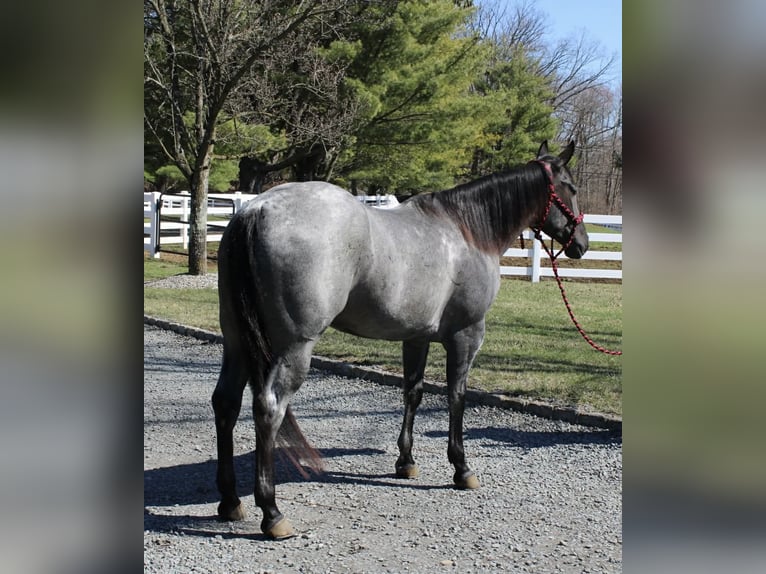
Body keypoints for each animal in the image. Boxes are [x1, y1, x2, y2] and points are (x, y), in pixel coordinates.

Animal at [212, 140, 588, 539]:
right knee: (268, 408)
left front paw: (405, 461)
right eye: (571, 188)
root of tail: (256, 209)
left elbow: (413, 392)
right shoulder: (467, 335)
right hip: (294, 347)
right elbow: (456, 397)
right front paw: (462, 468)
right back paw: (272, 513)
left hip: (236, 342)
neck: (467, 231)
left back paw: (230, 501)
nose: (581, 243)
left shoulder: (416, 337)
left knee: (226, 404)